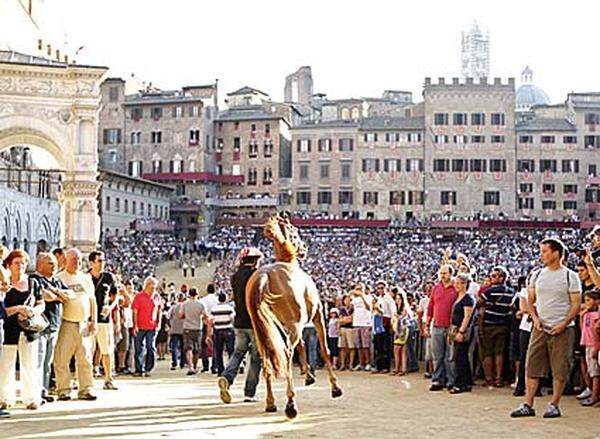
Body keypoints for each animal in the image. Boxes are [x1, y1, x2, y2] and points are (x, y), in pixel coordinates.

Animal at [245, 215, 342, 422]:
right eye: (295, 231)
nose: (304, 247)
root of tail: (264, 276)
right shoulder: (317, 315)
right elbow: (325, 349)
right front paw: (335, 387)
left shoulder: (284, 325)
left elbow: (302, 346)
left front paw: (309, 376)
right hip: (294, 324)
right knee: (287, 354)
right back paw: (290, 404)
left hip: (261, 330)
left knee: (267, 359)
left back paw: (271, 402)